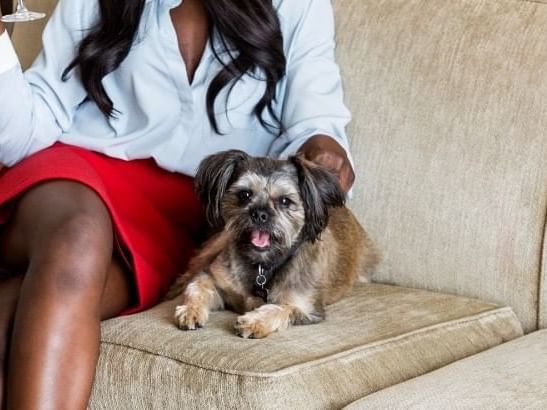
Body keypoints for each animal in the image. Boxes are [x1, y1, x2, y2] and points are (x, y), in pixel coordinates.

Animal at [171, 149, 382, 338]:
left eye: (285, 201)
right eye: (245, 195)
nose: (259, 213)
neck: (262, 265)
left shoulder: (305, 308)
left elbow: (278, 309)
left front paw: (254, 322)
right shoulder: (215, 279)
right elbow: (197, 286)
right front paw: (190, 310)